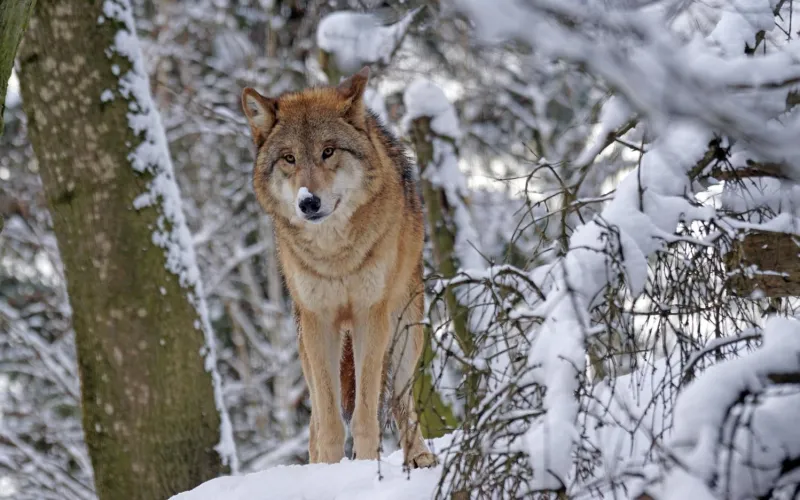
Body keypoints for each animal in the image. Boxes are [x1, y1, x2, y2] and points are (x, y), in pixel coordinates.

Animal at [241, 67, 437, 468]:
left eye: (328, 151)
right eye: (289, 158)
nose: (308, 202)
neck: (335, 256)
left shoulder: (369, 315)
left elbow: (364, 412)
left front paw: (364, 466)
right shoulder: (319, 322)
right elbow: (330, 421)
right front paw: (328, 472)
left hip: (406, 334)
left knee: (400, 399)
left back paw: (419, 456)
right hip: (305, 346)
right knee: (315, 420)